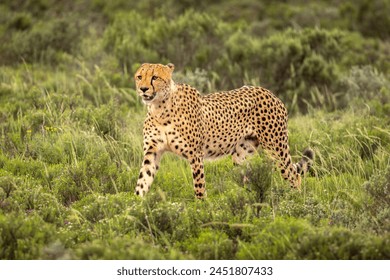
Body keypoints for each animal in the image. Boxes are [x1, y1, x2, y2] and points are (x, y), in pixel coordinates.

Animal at [134, 63, 314, 199]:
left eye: (155, 77)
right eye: (139, 77)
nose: (143, 89)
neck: (159, 109)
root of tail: (269, 92)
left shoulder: (195, 155)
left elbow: (199, 187)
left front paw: (200, 209)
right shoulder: (152, 152)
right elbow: (143, 181)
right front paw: (135, 206)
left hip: (276, 147)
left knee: (293, 174)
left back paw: (295, 201)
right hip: (242, 154)